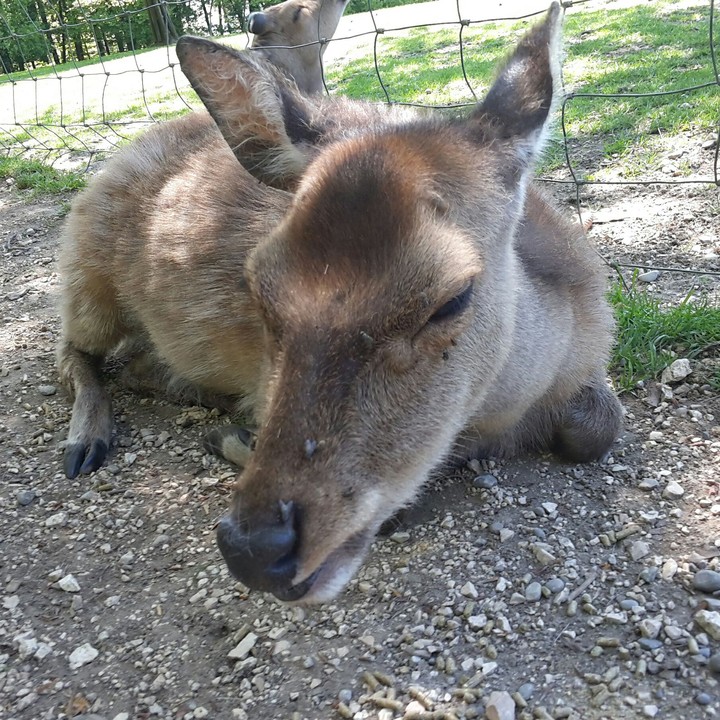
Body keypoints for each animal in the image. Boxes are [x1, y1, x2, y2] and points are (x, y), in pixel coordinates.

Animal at [56, 3, 622, 604]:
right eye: (257, 286)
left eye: (451, 299)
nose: (254, 548)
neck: (514, 400)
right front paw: (238, 436)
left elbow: (599, 428)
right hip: (86, 271)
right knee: (74, 351)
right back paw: (88, 440)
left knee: (133, 364)